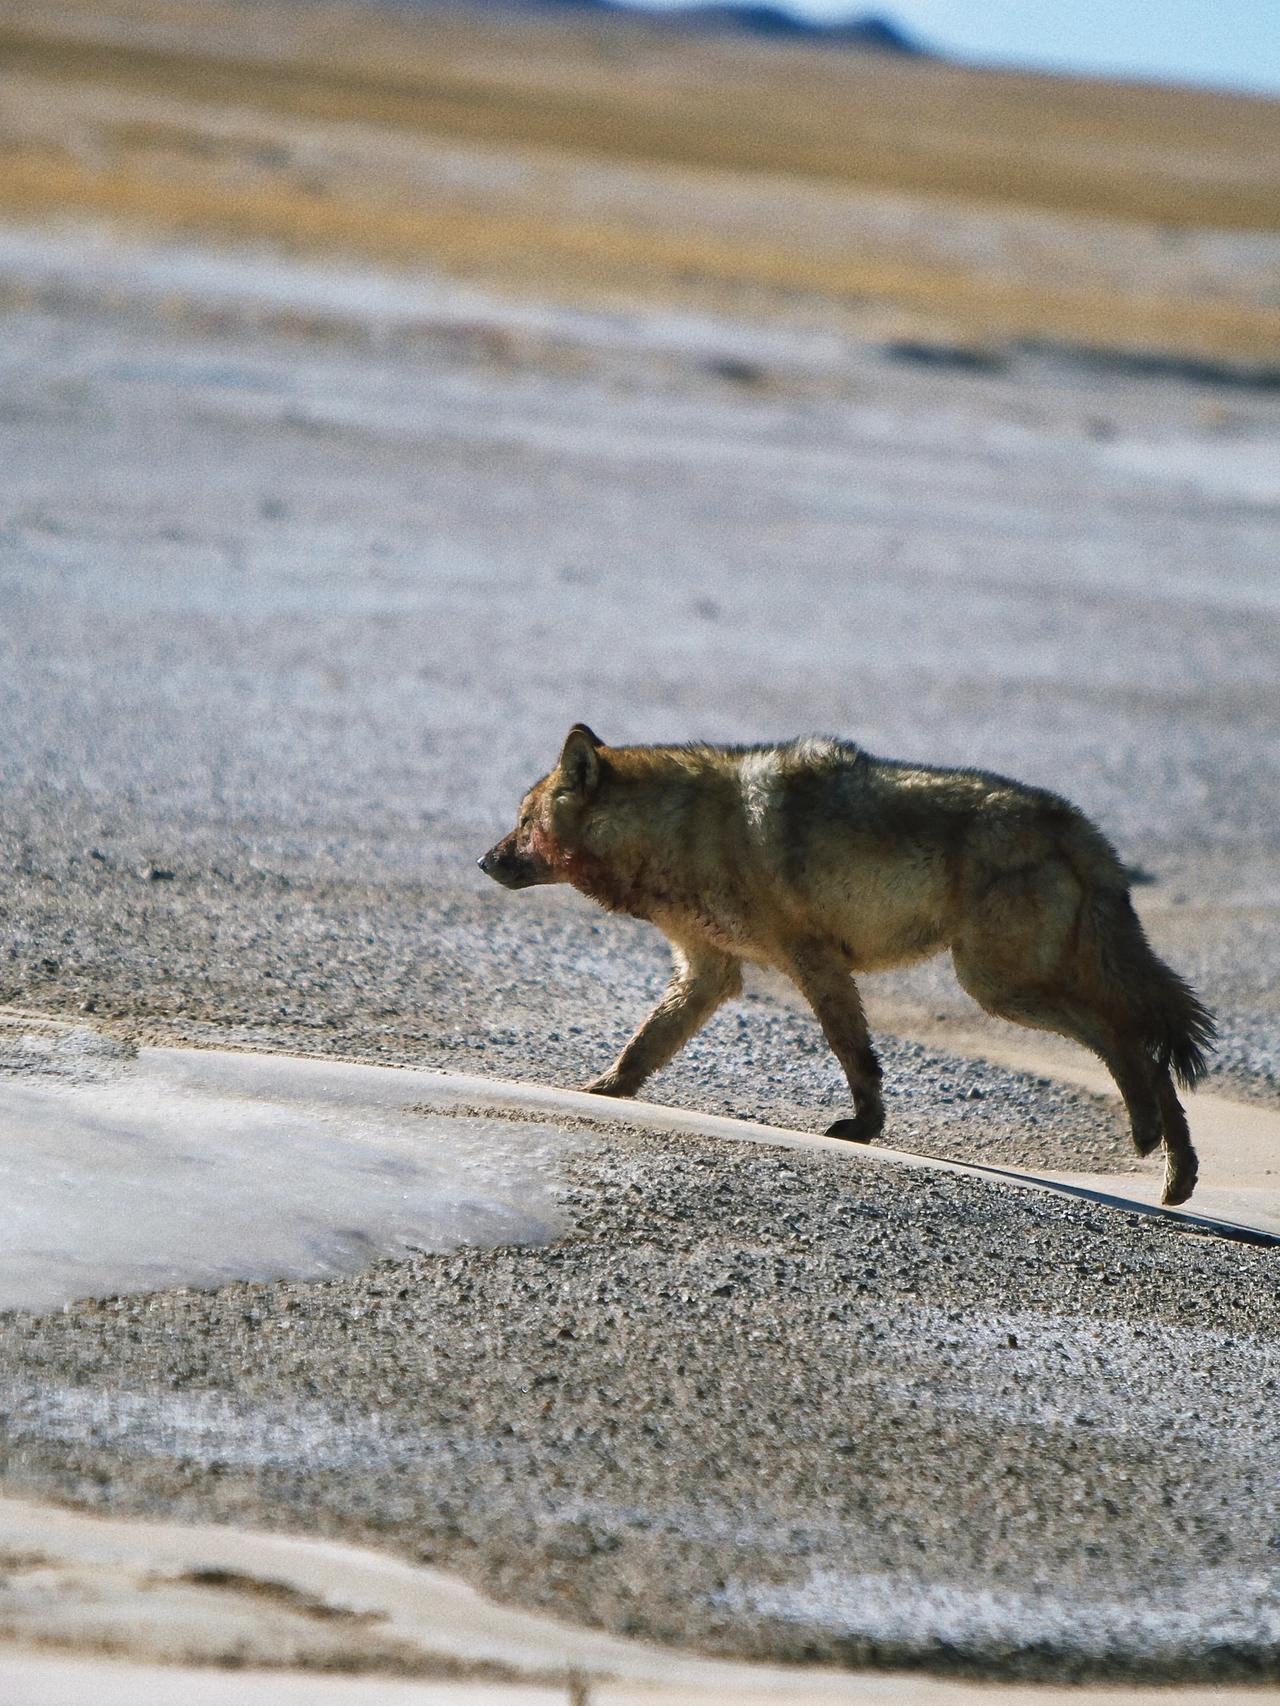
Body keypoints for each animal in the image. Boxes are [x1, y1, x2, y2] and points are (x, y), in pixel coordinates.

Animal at [477, 726, 1215, 1207]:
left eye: (523, 821)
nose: (483, 861)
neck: (678, 828)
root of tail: (1082, 828)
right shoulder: (708, 974)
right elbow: (641, 1047)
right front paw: (601, 1090)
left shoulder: (813, 961)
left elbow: (852, 1053)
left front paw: (863, 1129)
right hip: (1005, 985)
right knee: (1137, 1045)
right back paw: (1175, 1171)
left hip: (996, 987)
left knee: (1130, 1042)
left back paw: (1157, 1145)